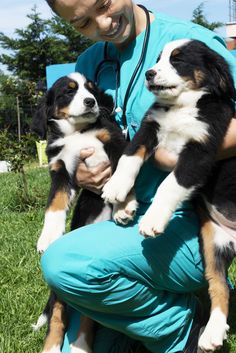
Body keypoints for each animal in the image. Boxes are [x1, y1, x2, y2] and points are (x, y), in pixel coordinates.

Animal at [32, 71, 137, 352]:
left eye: (91, 89)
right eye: (69, 91)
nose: (91, 102)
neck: (78, 132)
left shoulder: (115, 143)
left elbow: (123, 173)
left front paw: (125, 205)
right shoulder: (60, 168)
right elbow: (54, 204)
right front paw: (48, 236)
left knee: (88, 315)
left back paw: (80, 345)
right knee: (59, 313)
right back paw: (53, 346)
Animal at [102, 40, 236, 350]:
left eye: (178, 60)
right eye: (158, 58)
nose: (149, 74)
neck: (182, 106)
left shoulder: (201, 149)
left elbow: (170, 185)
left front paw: (152, 220)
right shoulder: (150, 128)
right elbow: (129, 156)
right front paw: (117, 190)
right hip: (212, 243)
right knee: (219, 285)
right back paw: (212, 333)